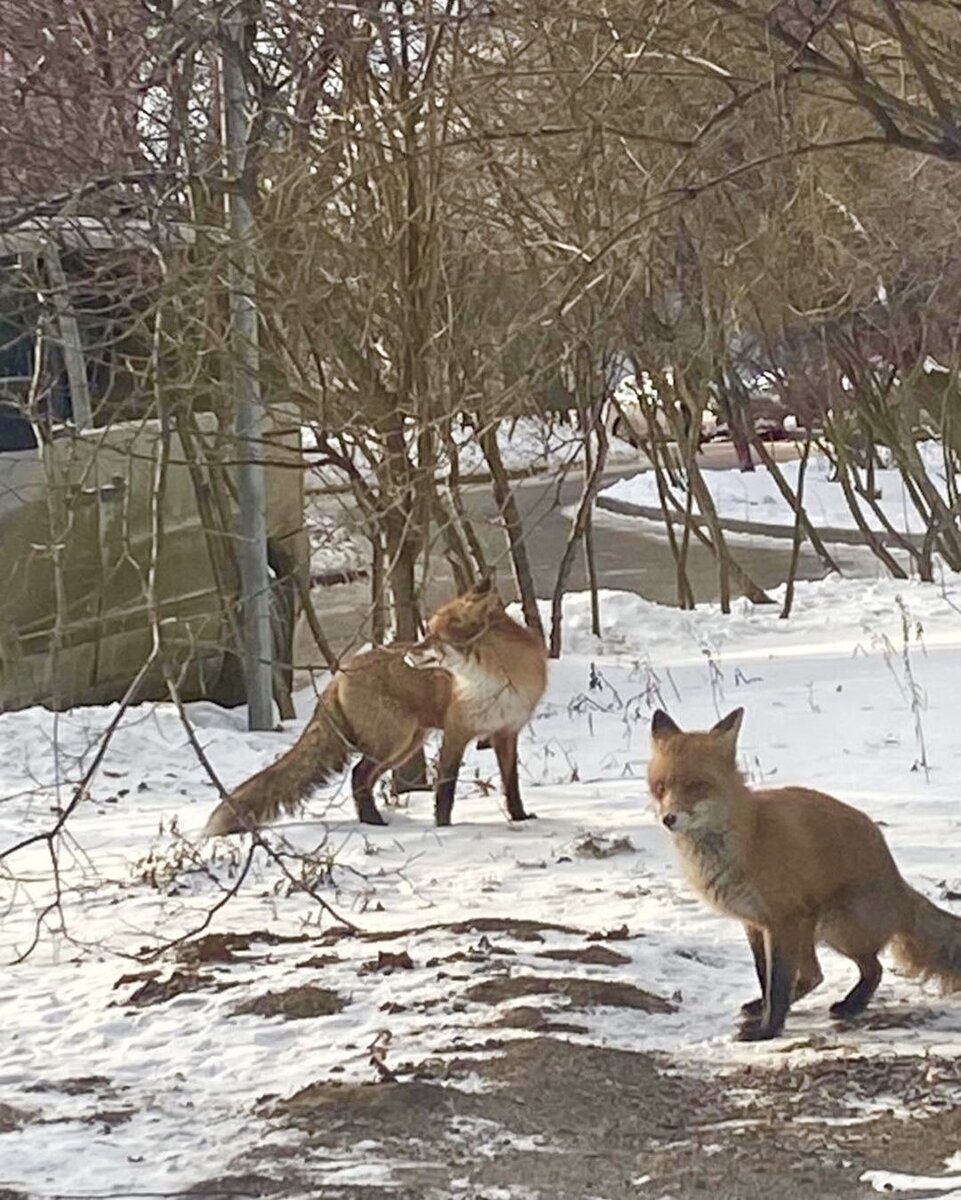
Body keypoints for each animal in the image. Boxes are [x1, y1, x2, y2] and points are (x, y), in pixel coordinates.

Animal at [202, 576, 547, 840]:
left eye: (434, 636)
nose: (408, 652)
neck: (497, 678)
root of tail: (340, 672)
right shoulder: (457, 731)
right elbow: (445, 789)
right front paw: (445, 827)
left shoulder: (506, 732)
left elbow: (511, 783)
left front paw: (520, 817)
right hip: (394, 740)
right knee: (358, 774)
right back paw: (374, 823)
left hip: (405, 745)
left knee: (362, 778)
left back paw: (372, 820)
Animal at [643, 700, 959, 1041]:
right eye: (661, 787)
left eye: (696, 786)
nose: (669, 818)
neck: (747, 837)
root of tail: (898, 879)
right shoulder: (754, 923)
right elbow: (765, 978)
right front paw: (766, 1015)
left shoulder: (782, 919)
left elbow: (778, 984)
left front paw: (768, 1029)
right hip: (816, 931)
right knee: (815, 975)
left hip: (838, 927)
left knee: (870, 969)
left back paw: (851, 1006)